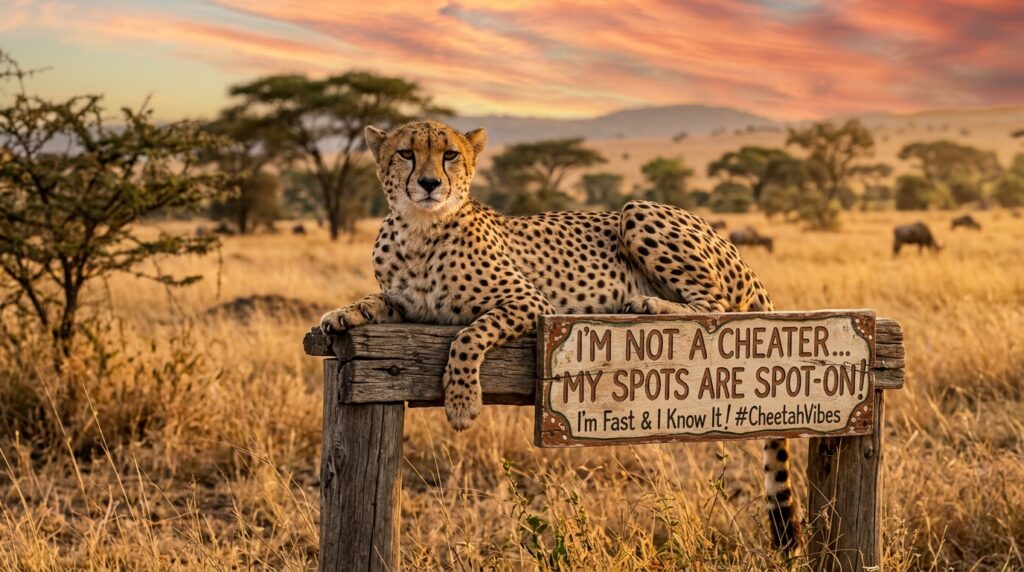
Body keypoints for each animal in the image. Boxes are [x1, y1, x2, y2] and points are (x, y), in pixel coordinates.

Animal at [320, 120, 800, 551]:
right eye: (406, 153)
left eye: (449, 154)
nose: (429, 183)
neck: (419, 228)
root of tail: (735, 247)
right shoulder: (405, 304)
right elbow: (376, 301)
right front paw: (339, 314)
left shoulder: (529, 302)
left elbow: (468, 336)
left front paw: (460, 402)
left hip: (637, 211)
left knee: (715, 307)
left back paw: (648, 303)